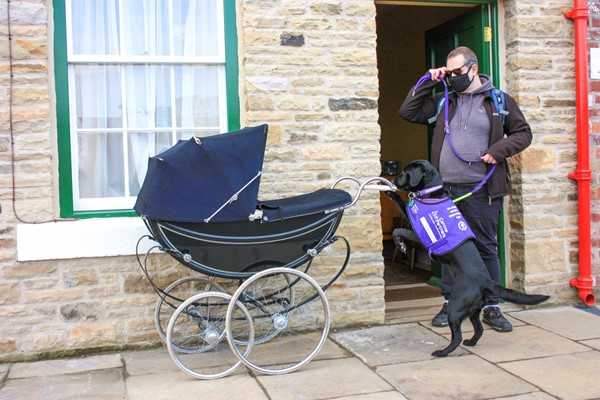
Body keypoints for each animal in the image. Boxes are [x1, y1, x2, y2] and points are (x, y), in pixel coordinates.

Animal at [394, 159, 548, 356]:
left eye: (405, 172)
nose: (395, 179)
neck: (431, 194)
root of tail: (486, 281)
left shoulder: (418, 235)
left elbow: (397, 229)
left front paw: (400, 244)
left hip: (456, 306)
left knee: (457, 336)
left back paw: (443, 352)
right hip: (473, 310)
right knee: (479, 329)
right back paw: (471, 342)